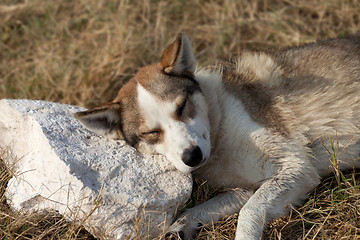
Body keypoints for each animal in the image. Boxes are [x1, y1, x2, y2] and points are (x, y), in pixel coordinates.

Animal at [75, 32, 360, 240]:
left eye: (182, 107)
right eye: (151, 133)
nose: (192, 156)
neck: (219, 135)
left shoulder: (298, 165)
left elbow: (248, 213)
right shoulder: (246, 188)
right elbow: (198, 209)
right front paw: (178, 228)